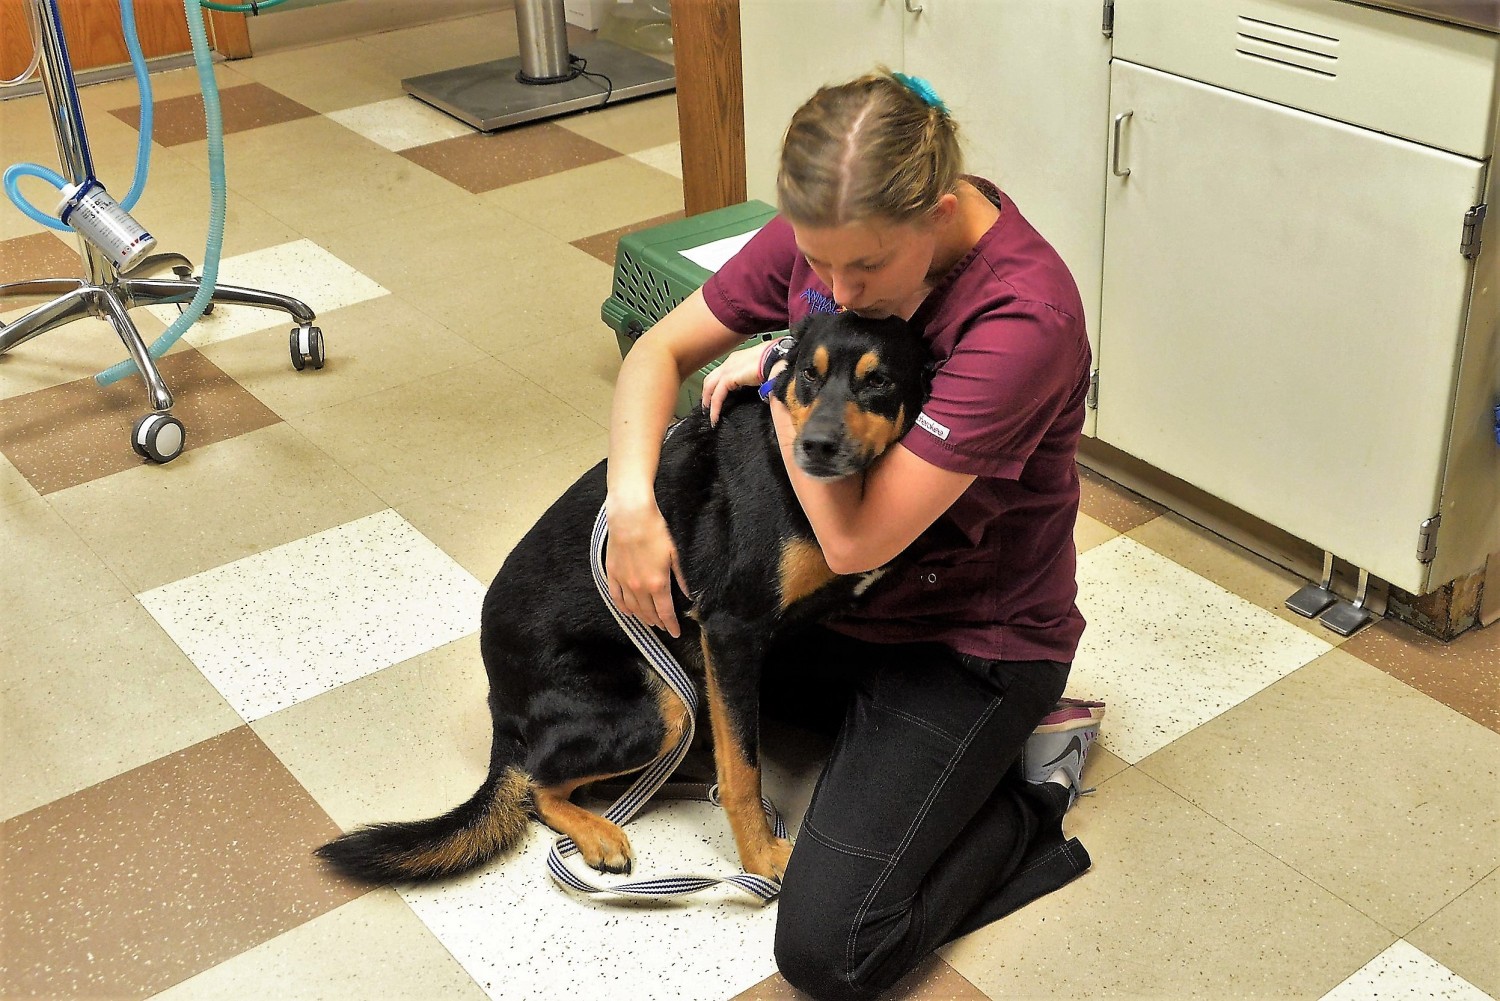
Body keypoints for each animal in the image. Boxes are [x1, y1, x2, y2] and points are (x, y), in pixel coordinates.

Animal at [316, 310, 924, 882]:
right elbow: (744, 770)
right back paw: (601, 831)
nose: (816, 447)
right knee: (538, 785)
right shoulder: (731, 629)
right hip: (661, 707)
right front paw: (759, 858)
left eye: (879, 381)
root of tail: (501, 709)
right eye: (807, 375)